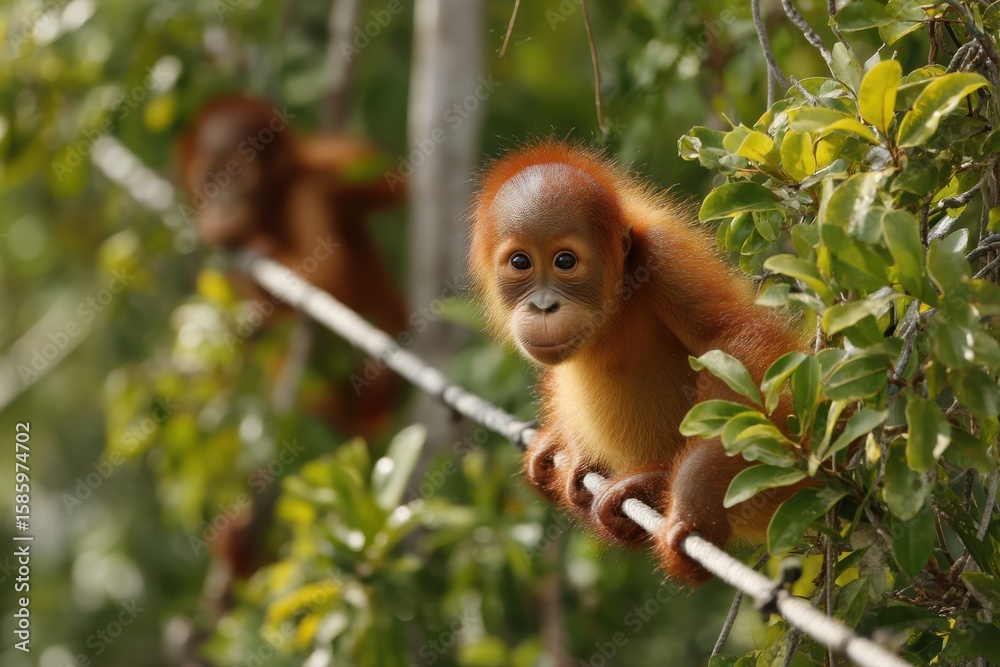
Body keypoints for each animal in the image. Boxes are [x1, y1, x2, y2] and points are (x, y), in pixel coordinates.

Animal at [177, 93, 407, 438]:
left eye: (238, 174)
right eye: (211, 178)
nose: (224, 204)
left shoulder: (306, 192)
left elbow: (329, 274)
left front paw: (258, 245)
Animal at [469, 141, 805, 584]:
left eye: (565, 261)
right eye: (521, 263)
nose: (543, 306)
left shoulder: (665, 259)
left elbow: (733, 342)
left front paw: (694, 509)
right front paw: (560, 442)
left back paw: (655, 483)